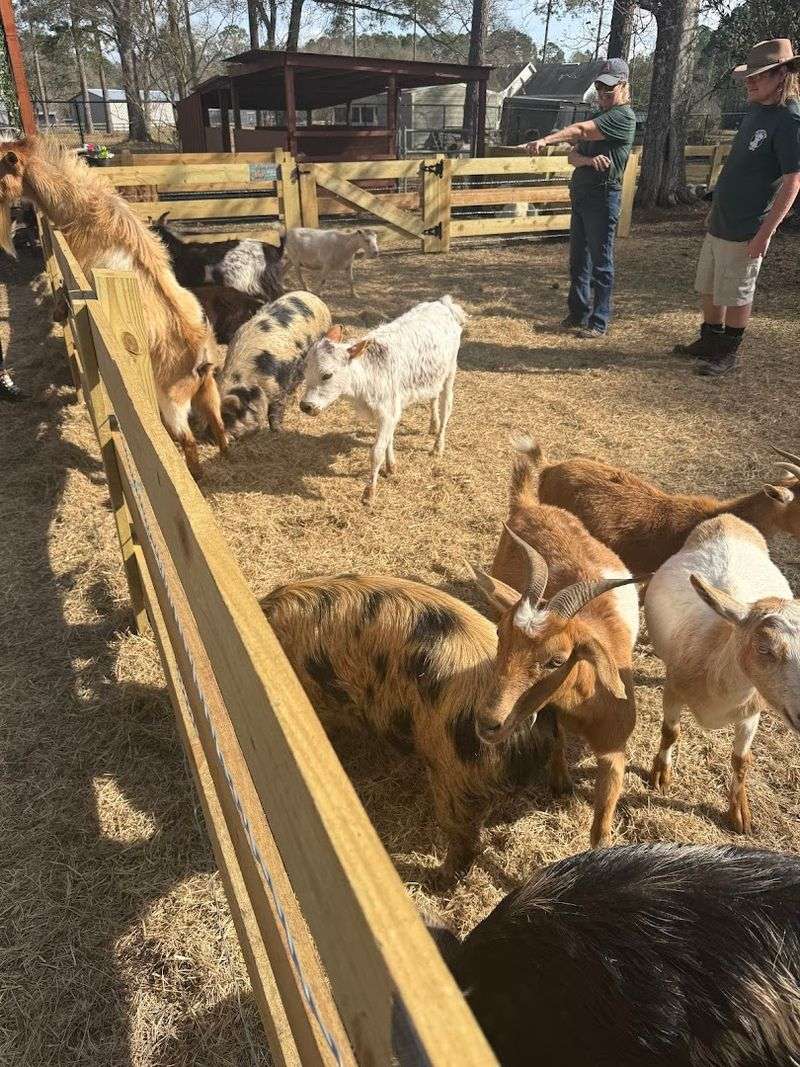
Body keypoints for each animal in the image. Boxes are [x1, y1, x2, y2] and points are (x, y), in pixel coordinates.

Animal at [0, 137, 226, 476]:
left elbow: (66, 289)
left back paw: (194, 474)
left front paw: (59, 310)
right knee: (219, 425)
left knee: (187, 440)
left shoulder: (82, 270)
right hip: (207, 391)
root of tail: (201, 360)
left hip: (172, 403)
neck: (87, 211)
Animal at [217, 291, 331, 437]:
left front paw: (278, 431)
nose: (225, 436)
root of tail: (314, 297)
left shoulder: (277, 384)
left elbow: (276, 407)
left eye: (237, 412)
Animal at [300, 296, 465, 505]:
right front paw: (391, 467)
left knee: (446, 408)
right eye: (305, 370)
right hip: (434, 375)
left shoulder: (388, 412)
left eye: (327, 375)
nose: (305, 405)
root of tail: (443, 304)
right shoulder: (389, 412)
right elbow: (388, 440)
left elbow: (376, 451)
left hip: (450, 372)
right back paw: (433, 425)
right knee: (433, 397)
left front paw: (369, 493)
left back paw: (437, 446)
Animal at [472, 437, 642, 848]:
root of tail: (528, 506)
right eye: (500, 635)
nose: (488, 723)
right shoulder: (548, 711)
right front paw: (560, 781)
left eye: (557, 660)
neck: (585, 701)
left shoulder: (614, 750)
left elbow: (601, 827)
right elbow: (554, 737)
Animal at [645, 513, 800, 832]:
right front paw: (661, 775)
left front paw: (739, 812)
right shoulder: (673, 689)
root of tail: (727, 518)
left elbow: (741, 760)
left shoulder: (751, 713)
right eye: (763, 648)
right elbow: (670, 732)